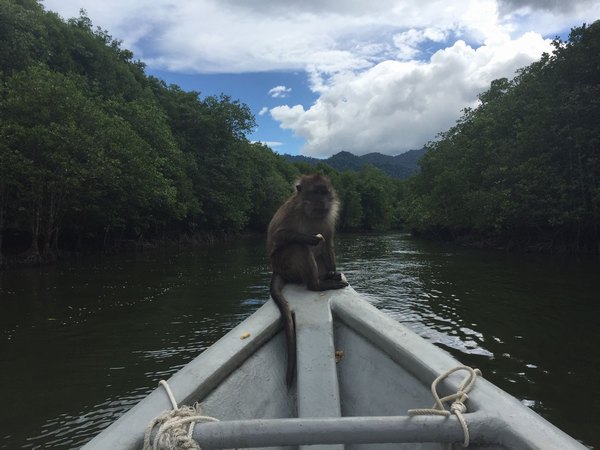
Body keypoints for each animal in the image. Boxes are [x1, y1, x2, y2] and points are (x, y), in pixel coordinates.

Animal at [266, 173, 346, 386]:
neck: (311, 214)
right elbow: (278, 236)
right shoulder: (290, 211)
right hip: (286, 265)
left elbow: (328, 243)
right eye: (316, 192)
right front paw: (310, 238)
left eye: (325, 192)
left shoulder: (329, 216)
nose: (323, 202)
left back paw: (327, 277)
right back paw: (317, 285)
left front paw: (333, 271)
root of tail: (277, 270)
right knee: (297, 247)